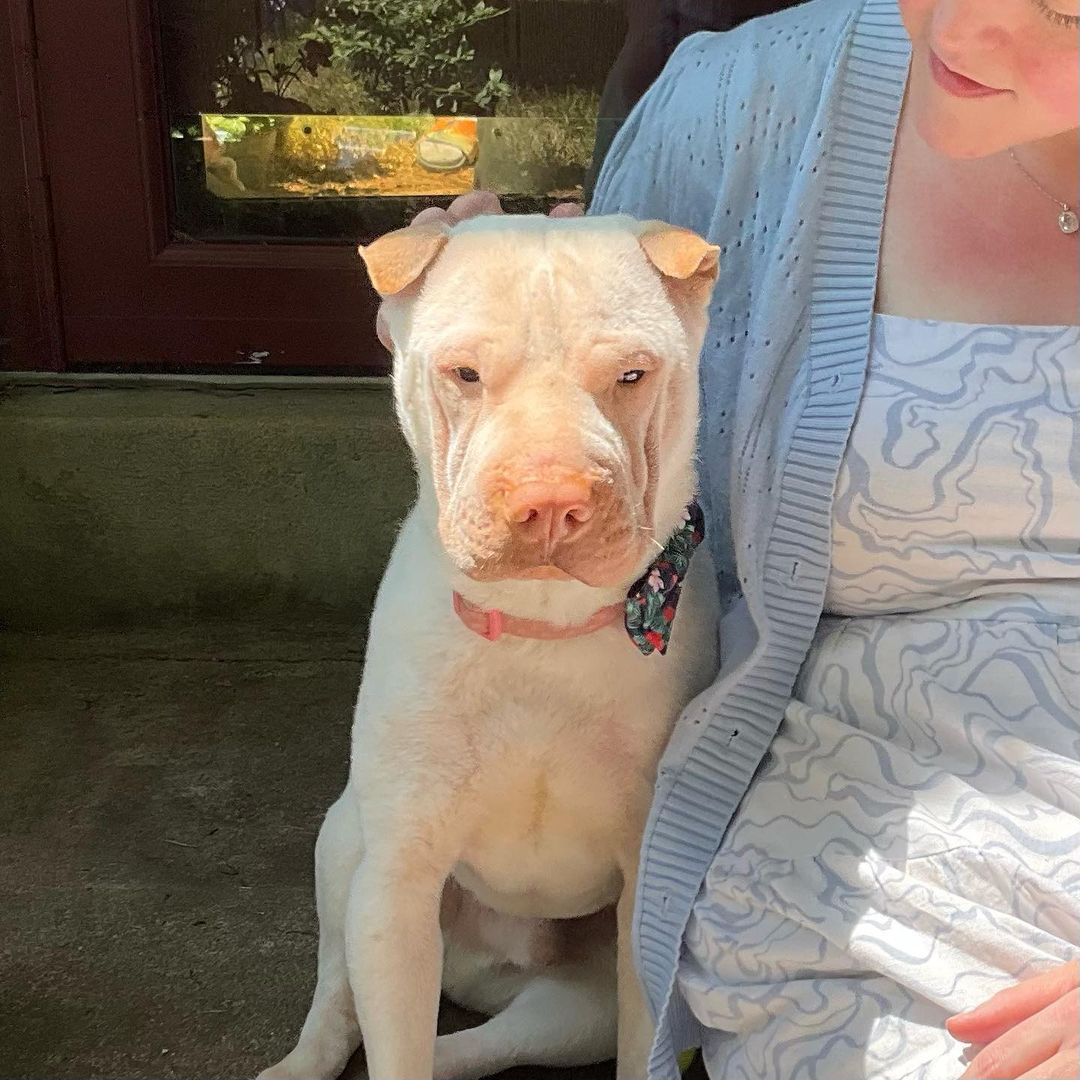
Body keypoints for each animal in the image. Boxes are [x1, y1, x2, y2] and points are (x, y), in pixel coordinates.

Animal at [258, 212, 721, 1080]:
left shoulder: (645, 901)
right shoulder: (397, 888)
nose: (551, 500)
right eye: (464, 374)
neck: (541, 625)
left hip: (571, 1010)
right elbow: (391, 1048)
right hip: (348, 853)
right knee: (342, 1000)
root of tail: (495, 964)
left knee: (469, 1047)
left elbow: (641, 1044)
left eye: (632, 375)